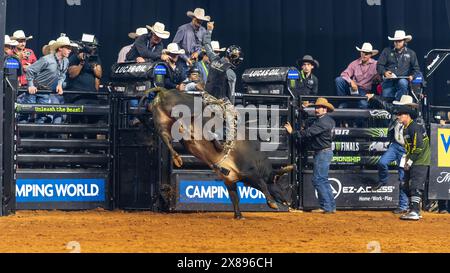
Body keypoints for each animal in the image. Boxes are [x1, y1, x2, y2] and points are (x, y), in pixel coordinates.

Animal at [144, 87, 292, 219]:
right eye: (280, 184)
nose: (288, 201)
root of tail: (165, 92)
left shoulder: (229, 180)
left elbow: (234, 197)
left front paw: (239, 216)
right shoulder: (250, 172)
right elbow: (262, 185)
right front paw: (272, 204)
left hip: (163, 122)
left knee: (166, 137)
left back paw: (178, 156)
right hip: (184, 110)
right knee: (187, 119)